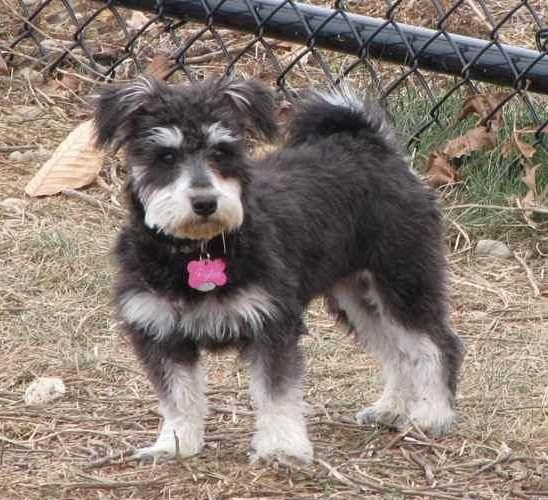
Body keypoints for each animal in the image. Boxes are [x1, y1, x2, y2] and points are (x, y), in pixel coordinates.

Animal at [94, 76, 462, 462]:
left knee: (435, 345)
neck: (200, 250)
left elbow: (275, 395)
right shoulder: (160, 332)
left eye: (221, 151)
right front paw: (175, 444)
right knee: (397, 352)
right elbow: (179, 398)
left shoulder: (271, 325)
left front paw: (282, 448)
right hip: (358, 297)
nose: (205, 202)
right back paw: (391, 408)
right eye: (166, 156)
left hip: (402, 281)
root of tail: (371, 145)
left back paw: (433, 414)